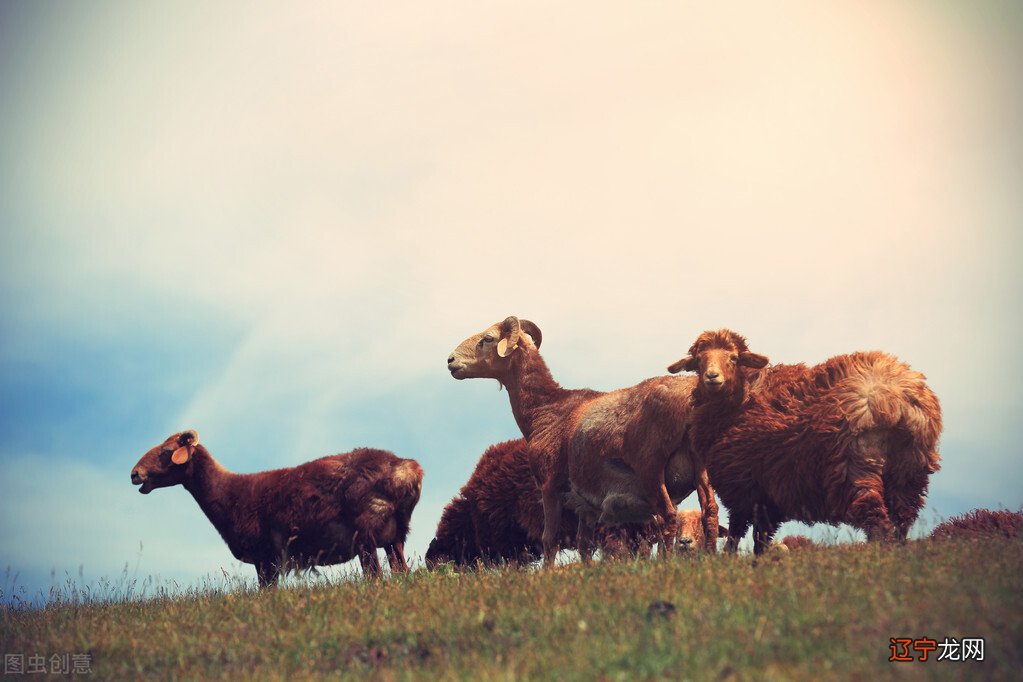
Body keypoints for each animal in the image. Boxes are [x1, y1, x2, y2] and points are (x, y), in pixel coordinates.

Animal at [128, 431, 423, 588]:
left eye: (166, 451)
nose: (134, 474)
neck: (227, 494)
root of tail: (410, 469)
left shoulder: (265, 557)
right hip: (395, 535)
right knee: (401, 570)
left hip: (366, 535)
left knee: (375, 576)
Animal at [662, 329, 941, 556]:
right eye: (698, 360)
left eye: (733, 358)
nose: (712, 377)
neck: (739, 402)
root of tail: (898, 397)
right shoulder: (767, 498)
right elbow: (760, 541)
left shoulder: (743, 487)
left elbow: (737, 534)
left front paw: (728, 562)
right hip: (909, 472)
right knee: (902, 523)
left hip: (855, 468)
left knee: (879, 525)